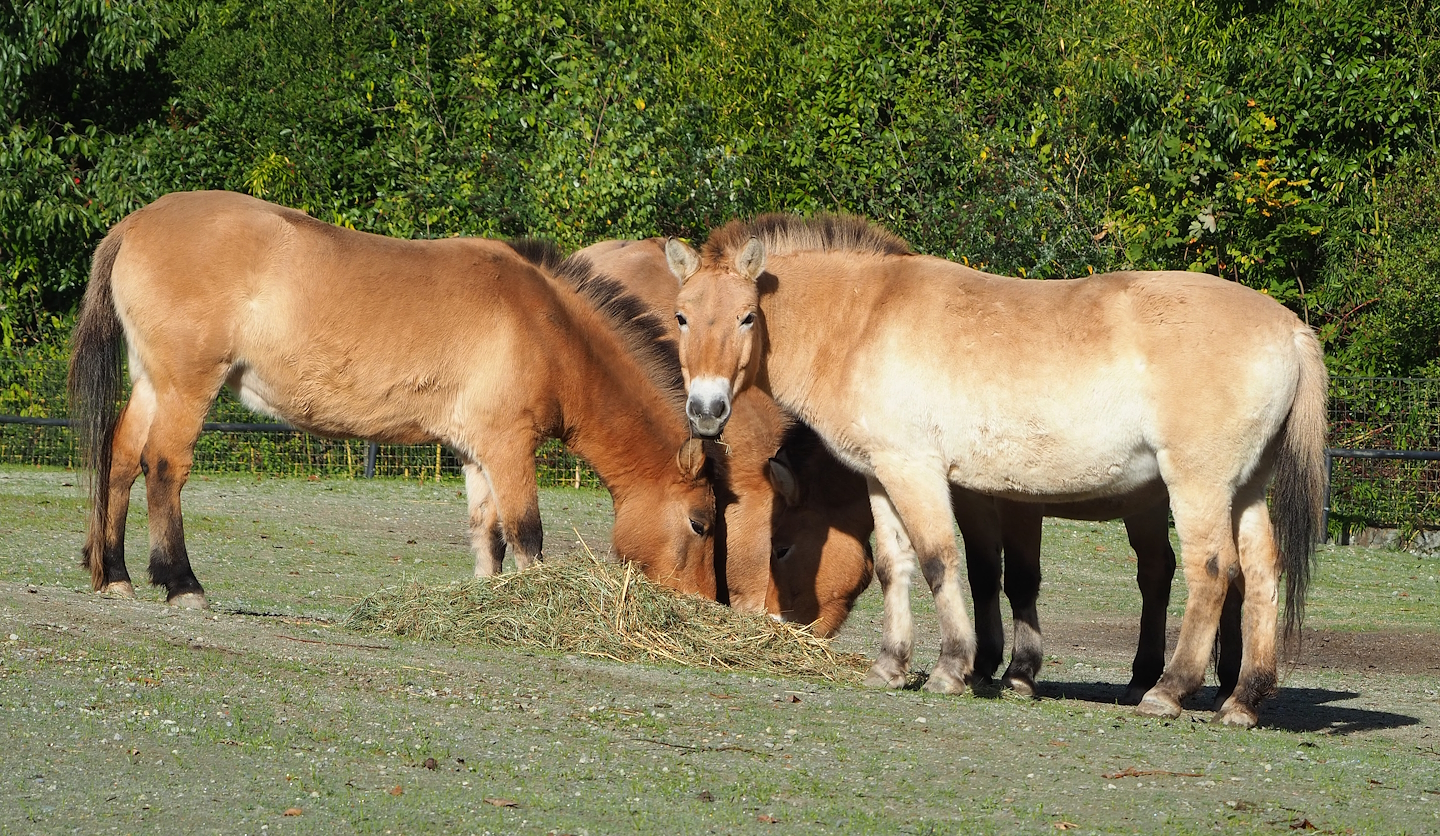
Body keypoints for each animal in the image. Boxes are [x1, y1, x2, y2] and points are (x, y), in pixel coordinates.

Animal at [67, 191, 716, 609]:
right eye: (701, 522)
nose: (706, 603)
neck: (548, 325)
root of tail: (134, 224)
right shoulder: (510, 446)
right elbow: (527, 533)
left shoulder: (476, 450)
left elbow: (488, 534)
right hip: (186, 385)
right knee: (164, 467)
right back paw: (182, 584)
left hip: (152, 382)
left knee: (119, 461)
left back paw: (115, 574)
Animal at [666, 214, 1326, 727]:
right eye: (681, 317)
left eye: (747, 316)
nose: (705, 410)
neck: (864, 317)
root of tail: (1289, 328)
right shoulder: (883, 475)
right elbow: (896, 566)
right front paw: (892, 665)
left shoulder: (918, 470)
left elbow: (941, 560)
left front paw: (954, 668)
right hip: (1245, 489)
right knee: (1260, 576)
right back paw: (1242, 701)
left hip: (1198, 485)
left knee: (1211, 572)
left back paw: (1167, 690)